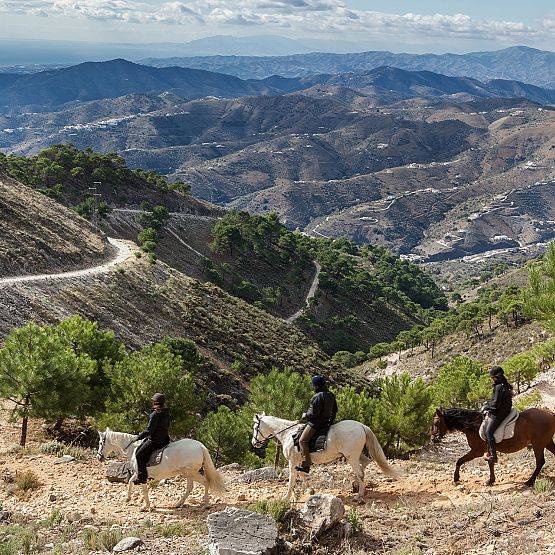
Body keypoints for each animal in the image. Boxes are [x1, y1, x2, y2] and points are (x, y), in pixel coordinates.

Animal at [97, 430, 226, 512]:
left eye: (101, 443)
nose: (99, 457)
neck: (133, 449)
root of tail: (200, 446)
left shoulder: (142, 475)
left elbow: (144, 491)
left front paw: (146, 507)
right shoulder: (138, 473)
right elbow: (130, 482)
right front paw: (128, 498)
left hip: (191, 472)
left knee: (205, 482)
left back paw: (206, 504)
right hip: (188, 473)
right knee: (190, 487)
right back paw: (178, 504)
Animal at [250, 414, 398, 502]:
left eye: (256, 427)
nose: (254, 443)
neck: (288, 434)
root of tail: (362, 426)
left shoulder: (292, 462)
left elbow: (292, 479)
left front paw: (286, 498)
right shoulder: (299, 462)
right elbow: (303, 475)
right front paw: (310, 490)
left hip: (351, 457)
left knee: (360, 472)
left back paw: (359, 495)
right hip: (354, 455)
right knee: (365, 463)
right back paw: (355, 486)